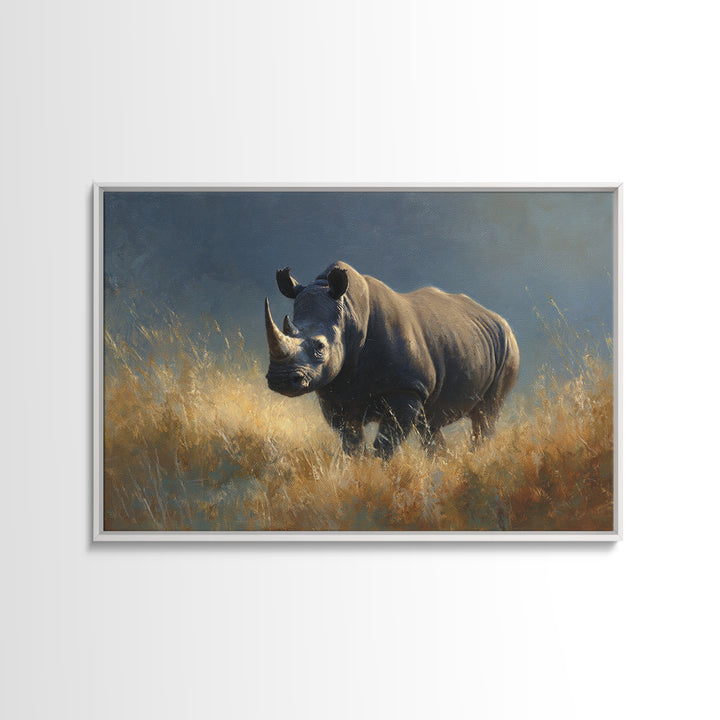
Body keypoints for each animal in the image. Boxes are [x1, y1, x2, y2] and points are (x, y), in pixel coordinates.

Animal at [264, 261, 519, 459]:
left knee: (486, 415)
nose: (280, 379)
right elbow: (351, 442)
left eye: (320, 347)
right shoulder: (334, 393)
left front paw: (378, 474)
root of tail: (497, 317)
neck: (349, 315)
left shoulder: (407, 388)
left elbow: (385, 443)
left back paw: (477, 459)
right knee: (429, 424)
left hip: (508, 347)